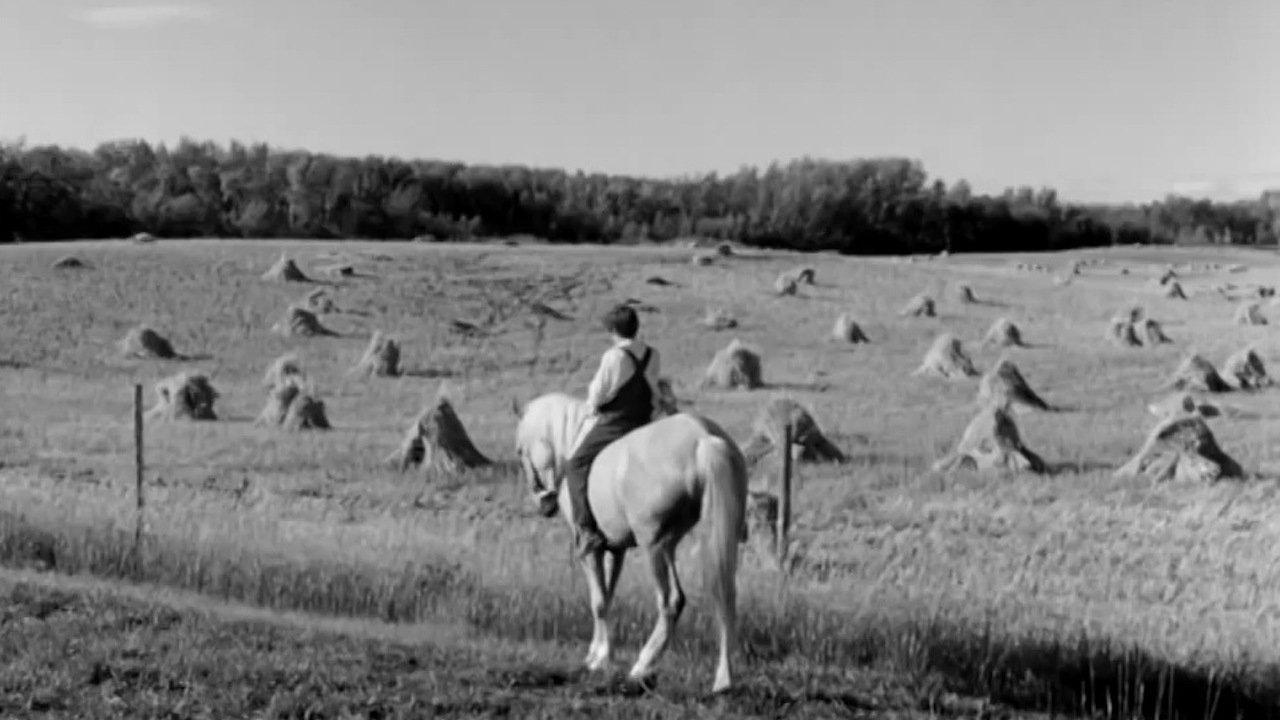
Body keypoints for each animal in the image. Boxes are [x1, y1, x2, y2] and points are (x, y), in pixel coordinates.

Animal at [512, 389, 747, 691]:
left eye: (520, 451)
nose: (545, 504)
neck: (572, 441)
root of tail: (703, 438)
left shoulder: (590, 550)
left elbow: (598, 601)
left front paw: (600, 658)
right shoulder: (616, 550)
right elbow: (607, 596)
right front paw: (596, 652)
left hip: (654, 547)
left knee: (670, 601)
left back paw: (643, 666)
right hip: (680, 543)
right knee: (719, 598)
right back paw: (721, 678)